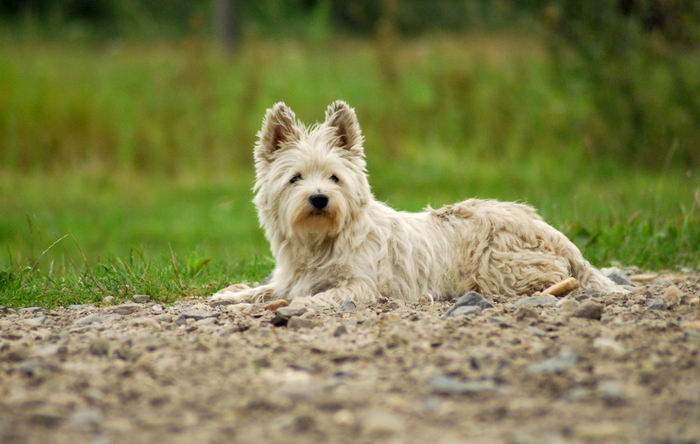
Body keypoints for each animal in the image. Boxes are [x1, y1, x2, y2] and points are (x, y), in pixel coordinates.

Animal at [211, 101, 620, 308]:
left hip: (502, 265)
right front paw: (231, 294)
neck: (321, 240)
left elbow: (324, 296)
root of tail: (550, 230)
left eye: (334, 178)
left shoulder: (360, 285)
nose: (319, 198)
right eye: (295, 178)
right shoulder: (290, 278)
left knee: (558, 279)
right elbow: (267, 290)